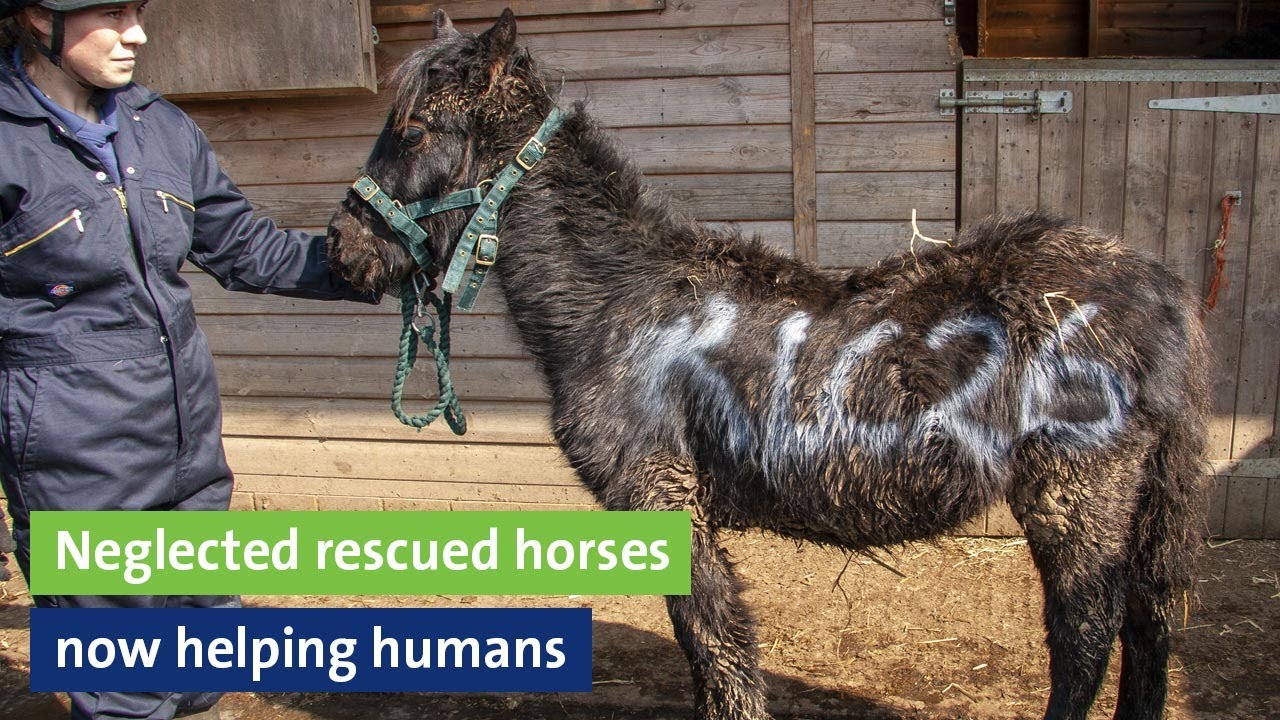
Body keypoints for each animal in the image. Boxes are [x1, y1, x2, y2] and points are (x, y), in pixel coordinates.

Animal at [326, 10, 1210, 719]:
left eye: (413, 130)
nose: (343, 251)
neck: (616, 297)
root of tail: (1160, 287)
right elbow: (715, 654)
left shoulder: (666, 499)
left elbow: (717, 651)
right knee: (1152, 623)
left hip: (1075, 494)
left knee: (1086, 636)